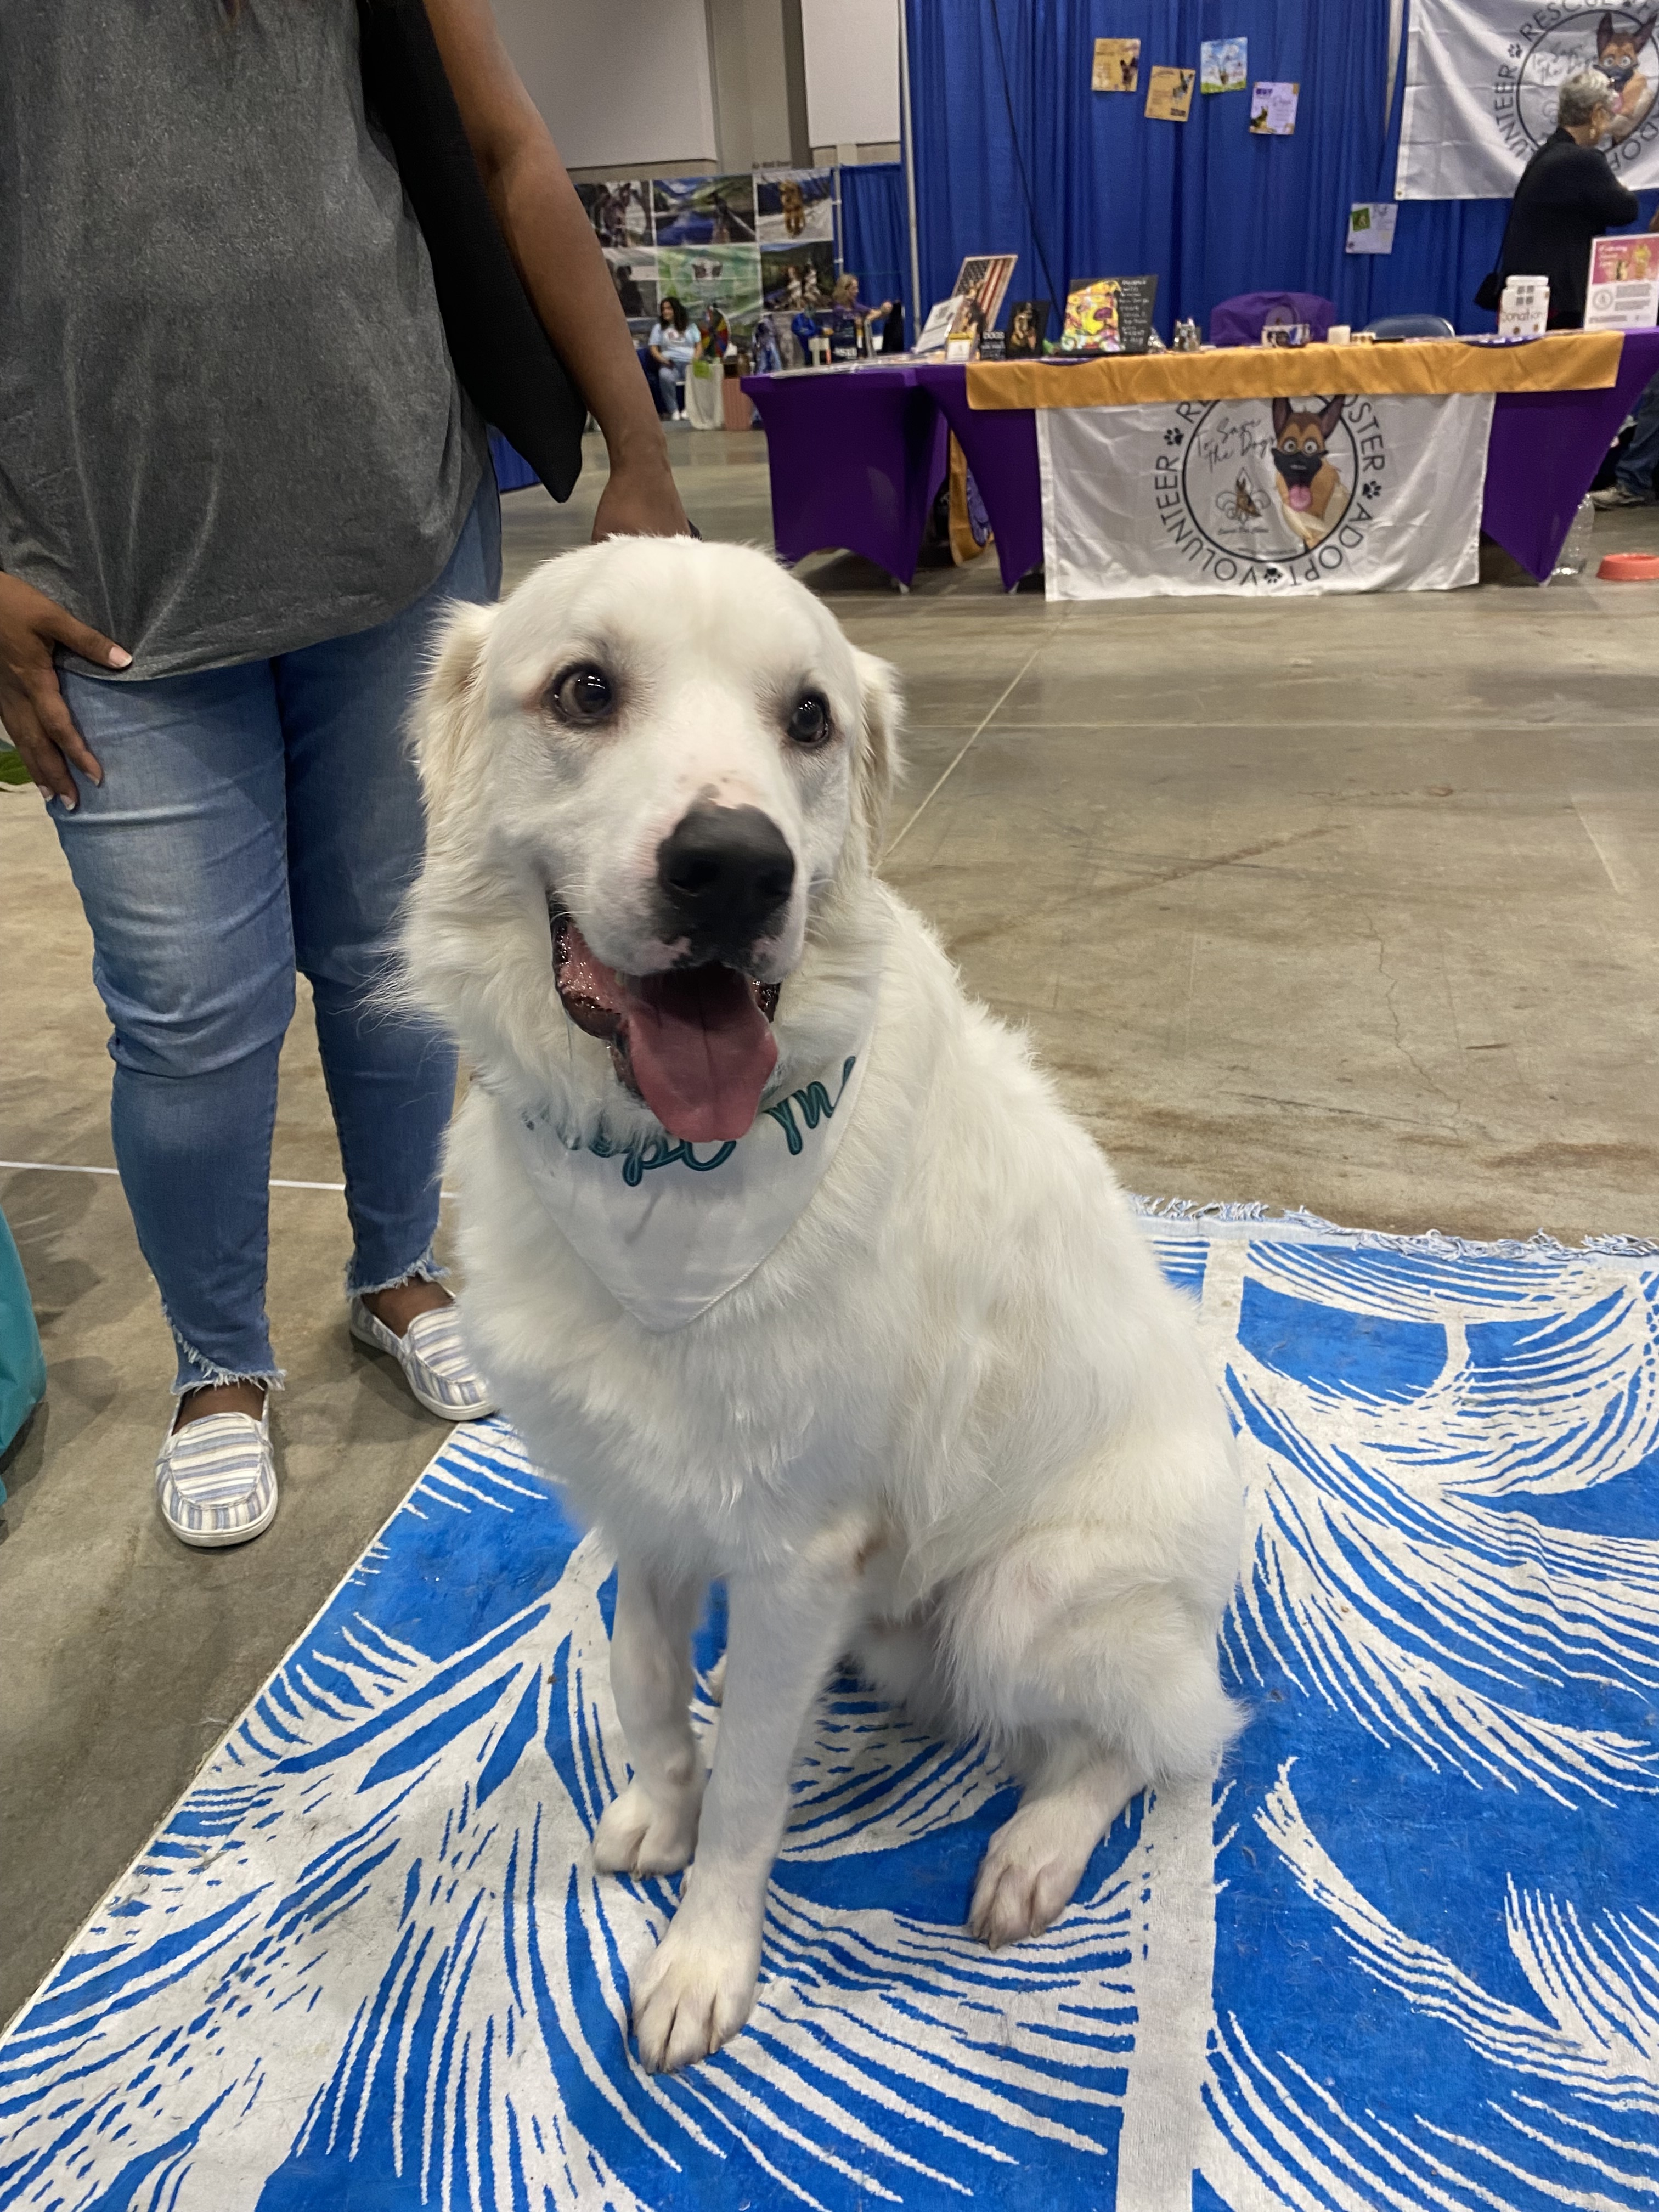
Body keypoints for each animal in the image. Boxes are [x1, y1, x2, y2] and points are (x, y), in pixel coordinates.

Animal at [402, 531, 1238, 2070]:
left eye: (809, 720)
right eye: (586, 690)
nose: (735, 871)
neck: (663, 1169)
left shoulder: (794, 1550)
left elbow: (750, 1797)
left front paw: (702, 1962)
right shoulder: (646, 1502)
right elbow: (644, 1679)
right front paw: (658, 1807)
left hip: (1027, 1599)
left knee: (1163, 1739)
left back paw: (1035, 1853)